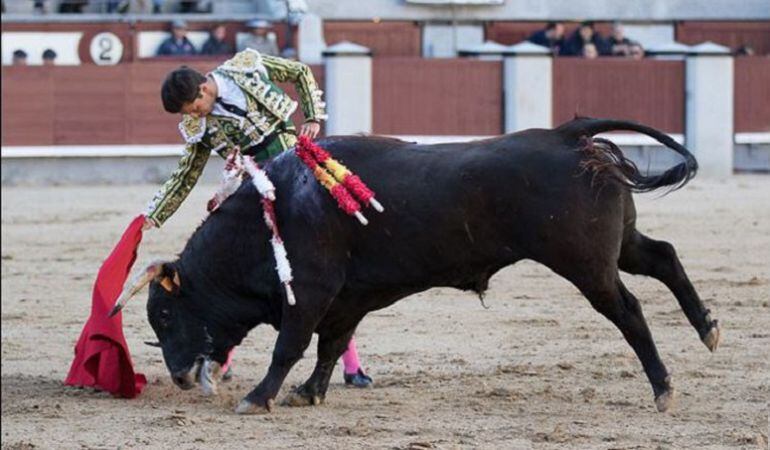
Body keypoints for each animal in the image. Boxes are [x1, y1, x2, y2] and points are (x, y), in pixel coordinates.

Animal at [127, 118, 720, 414]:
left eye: (165, 316)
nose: (178, 377)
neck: (271, 211)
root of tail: (565, 135)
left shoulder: (311, 292)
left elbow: (289, 346)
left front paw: (258, 398)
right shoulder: (347, 300)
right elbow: (329, 347)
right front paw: (309, 393)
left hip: (583, 262)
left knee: (628, 309)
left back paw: (663, 388)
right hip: (615, 245)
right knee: (663, 255)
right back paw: (708, 328)